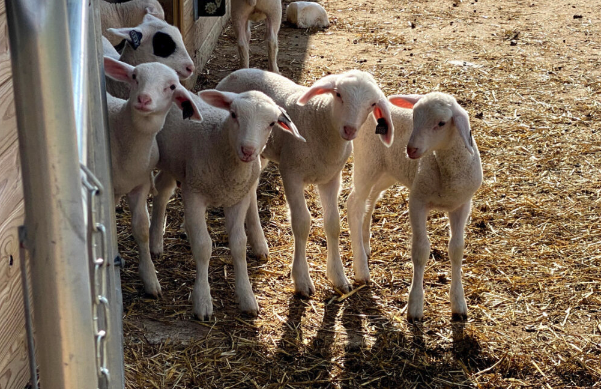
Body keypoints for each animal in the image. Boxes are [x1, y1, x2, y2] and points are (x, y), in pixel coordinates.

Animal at [104, 56, 203, 296]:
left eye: (172, 87)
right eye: (134, 76)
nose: (144, 99)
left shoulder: (139, 186)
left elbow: (141, 229)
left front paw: (150, 279)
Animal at [146, 90, 304, 318]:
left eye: (272, 123)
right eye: (234, 114)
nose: (248, 150)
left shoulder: (237, 199)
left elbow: (239, 244)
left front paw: (247, 298)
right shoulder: (194, 193)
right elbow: (203, 246)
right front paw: (203, 301)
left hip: (175, 164)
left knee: (162, 190)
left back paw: (157, 241)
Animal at [216, 68, 394, 296]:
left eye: (372, 104)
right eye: (338, 94)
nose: (349, 130)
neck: (319, 121)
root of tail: (237, 72)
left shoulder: (331, 178)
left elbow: (333, 224)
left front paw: (339, 277)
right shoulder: (291, 173)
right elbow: (301, 223)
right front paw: (302, 280)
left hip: (260, 153)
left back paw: (259, 244)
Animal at [346, 91, 482, 322]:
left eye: (441, 123)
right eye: (414, 116)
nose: (410, 149)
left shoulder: (462, 205)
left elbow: (456, 250)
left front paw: (459, 304)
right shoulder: (417, 201)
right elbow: (420, 250)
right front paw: (415, 305)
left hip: (387, 171)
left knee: (370, 201)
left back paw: (365, 245)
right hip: (367, 162)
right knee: (354, 204)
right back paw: (361, 268)